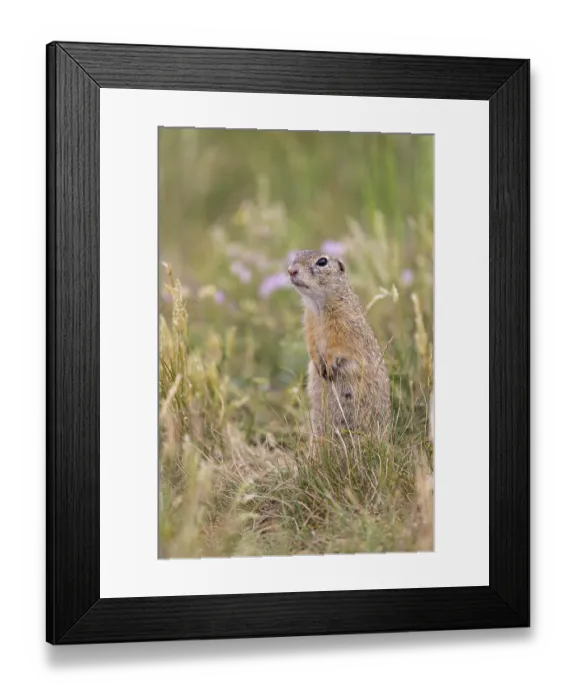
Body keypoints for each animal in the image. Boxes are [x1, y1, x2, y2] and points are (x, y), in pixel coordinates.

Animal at [288, 250, 391, 440]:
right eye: (295, 255)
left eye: (322, 262)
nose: (291, 270)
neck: (318, 306)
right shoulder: (309, 323)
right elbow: (311, 343)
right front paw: (318, 364)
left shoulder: (343, 325)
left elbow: (337, 346)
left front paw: (329, 366)